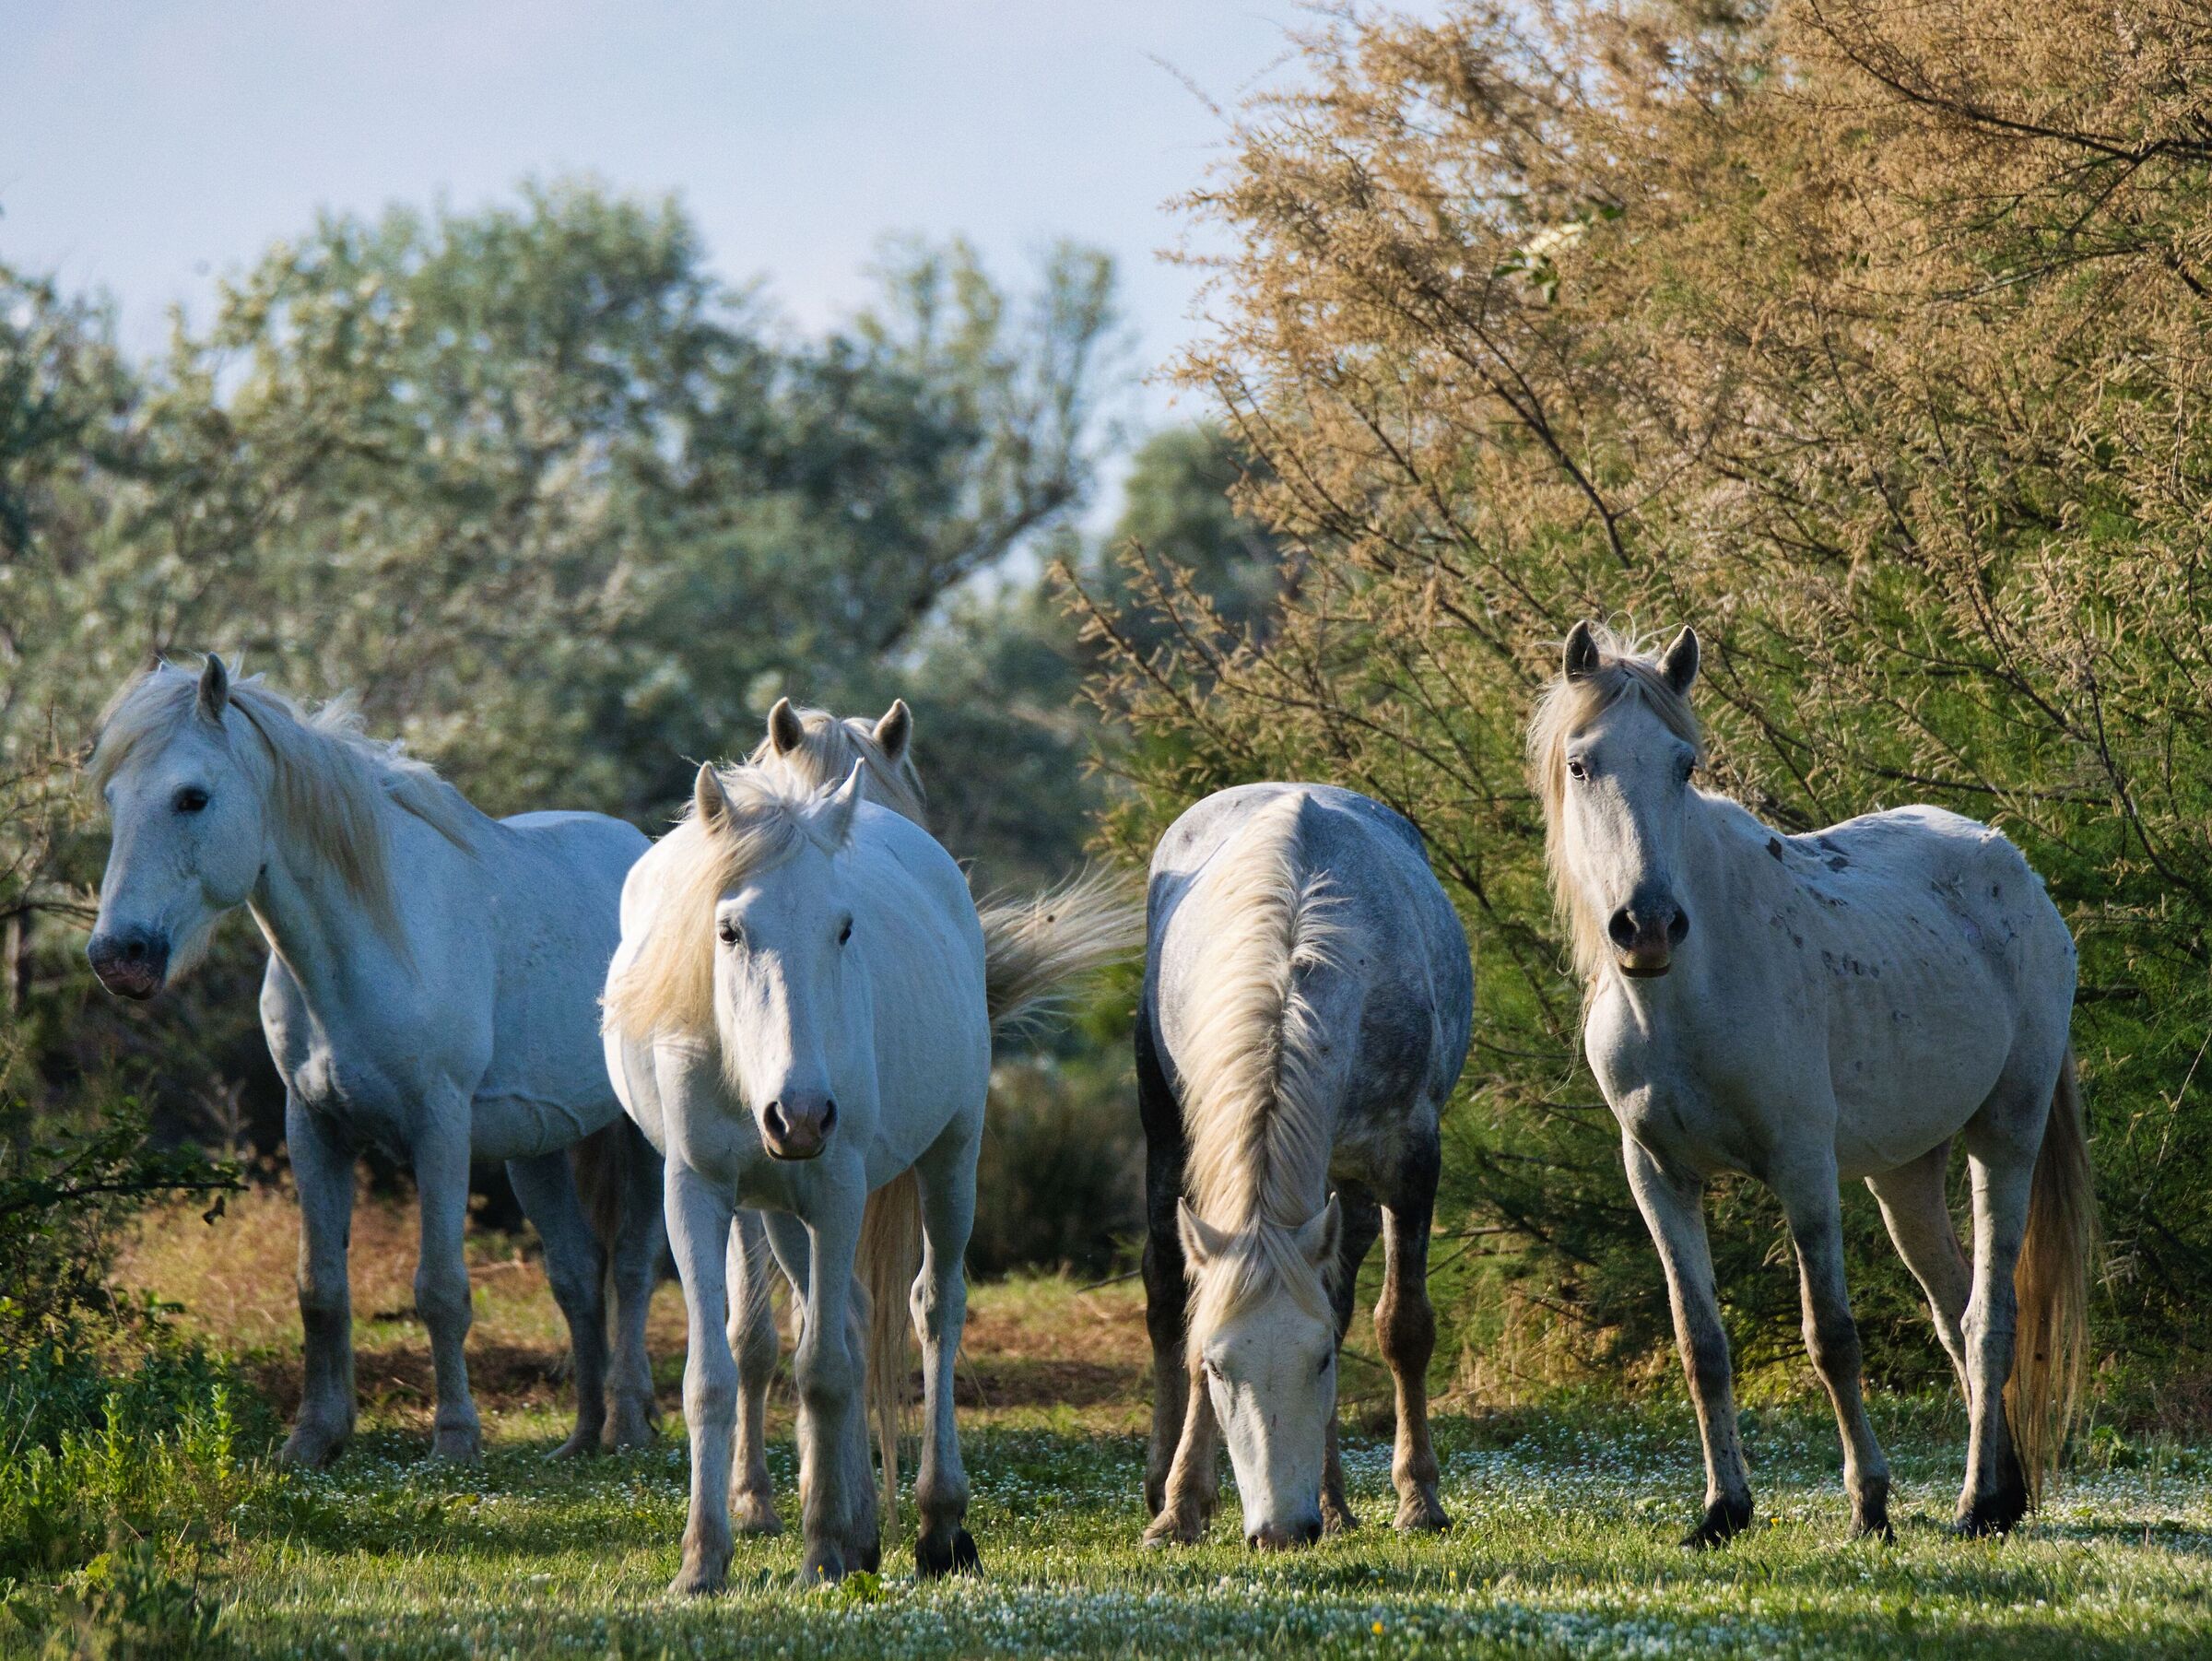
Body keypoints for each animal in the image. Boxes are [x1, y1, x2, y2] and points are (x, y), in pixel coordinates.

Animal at [86, 655, 666, 1466]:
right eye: (112, 798)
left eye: (191, 798)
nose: (118, 956)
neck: (369, 945)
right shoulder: (314, 1129)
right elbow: (320, 1287)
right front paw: (312, 1438)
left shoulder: (440, 1130)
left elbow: (440, 1288)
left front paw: (454, 1440)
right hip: (537, 1147)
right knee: (579, 1273)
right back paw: (581, 1437)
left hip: (640, 1139)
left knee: (636, 1266)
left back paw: (629, 1426)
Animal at [603, 758, 993, 1591]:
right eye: (729, 930)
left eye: (843, 928)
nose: (804, 1115)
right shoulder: (696, 1192)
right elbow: (714, 1377)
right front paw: (703, 1559)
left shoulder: (838, 1188)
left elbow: (823, 1373)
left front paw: (820, 1556)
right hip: (782, 1211)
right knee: (844, 1315)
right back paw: (862, 1529)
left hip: (951, 1155)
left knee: (934, 1309)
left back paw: (939, 1525)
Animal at [1138, 783, 1472, 1551]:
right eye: (1218, 1367)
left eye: (1319, 1361)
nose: (1282, 1530)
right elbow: (1191, 1314)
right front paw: (1181, 1505)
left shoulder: (1410, 1163)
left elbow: (1403, 1326)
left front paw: (1419, 1498)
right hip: (1162, 1130)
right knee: (1164, 1291)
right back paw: (1161, 1481)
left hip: (1345, 1186)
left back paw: (1335, 1500)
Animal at [1531, 620, 2095, 1542]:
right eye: (1581, 764)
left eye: (1684, 765)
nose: (1647, 926)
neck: (1685, 993)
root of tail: (2013, 868)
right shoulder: (1657, 1176)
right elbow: (1700, 1345)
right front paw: (1723, 1510)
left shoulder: (1803, 1168)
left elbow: (1830, 1336)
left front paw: (1870, 1504)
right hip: (1904, 1177)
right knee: (1953, 1312)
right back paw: (2003, 1495)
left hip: (2004, 1137)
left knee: (1989, 1318)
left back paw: (1976, 1502)